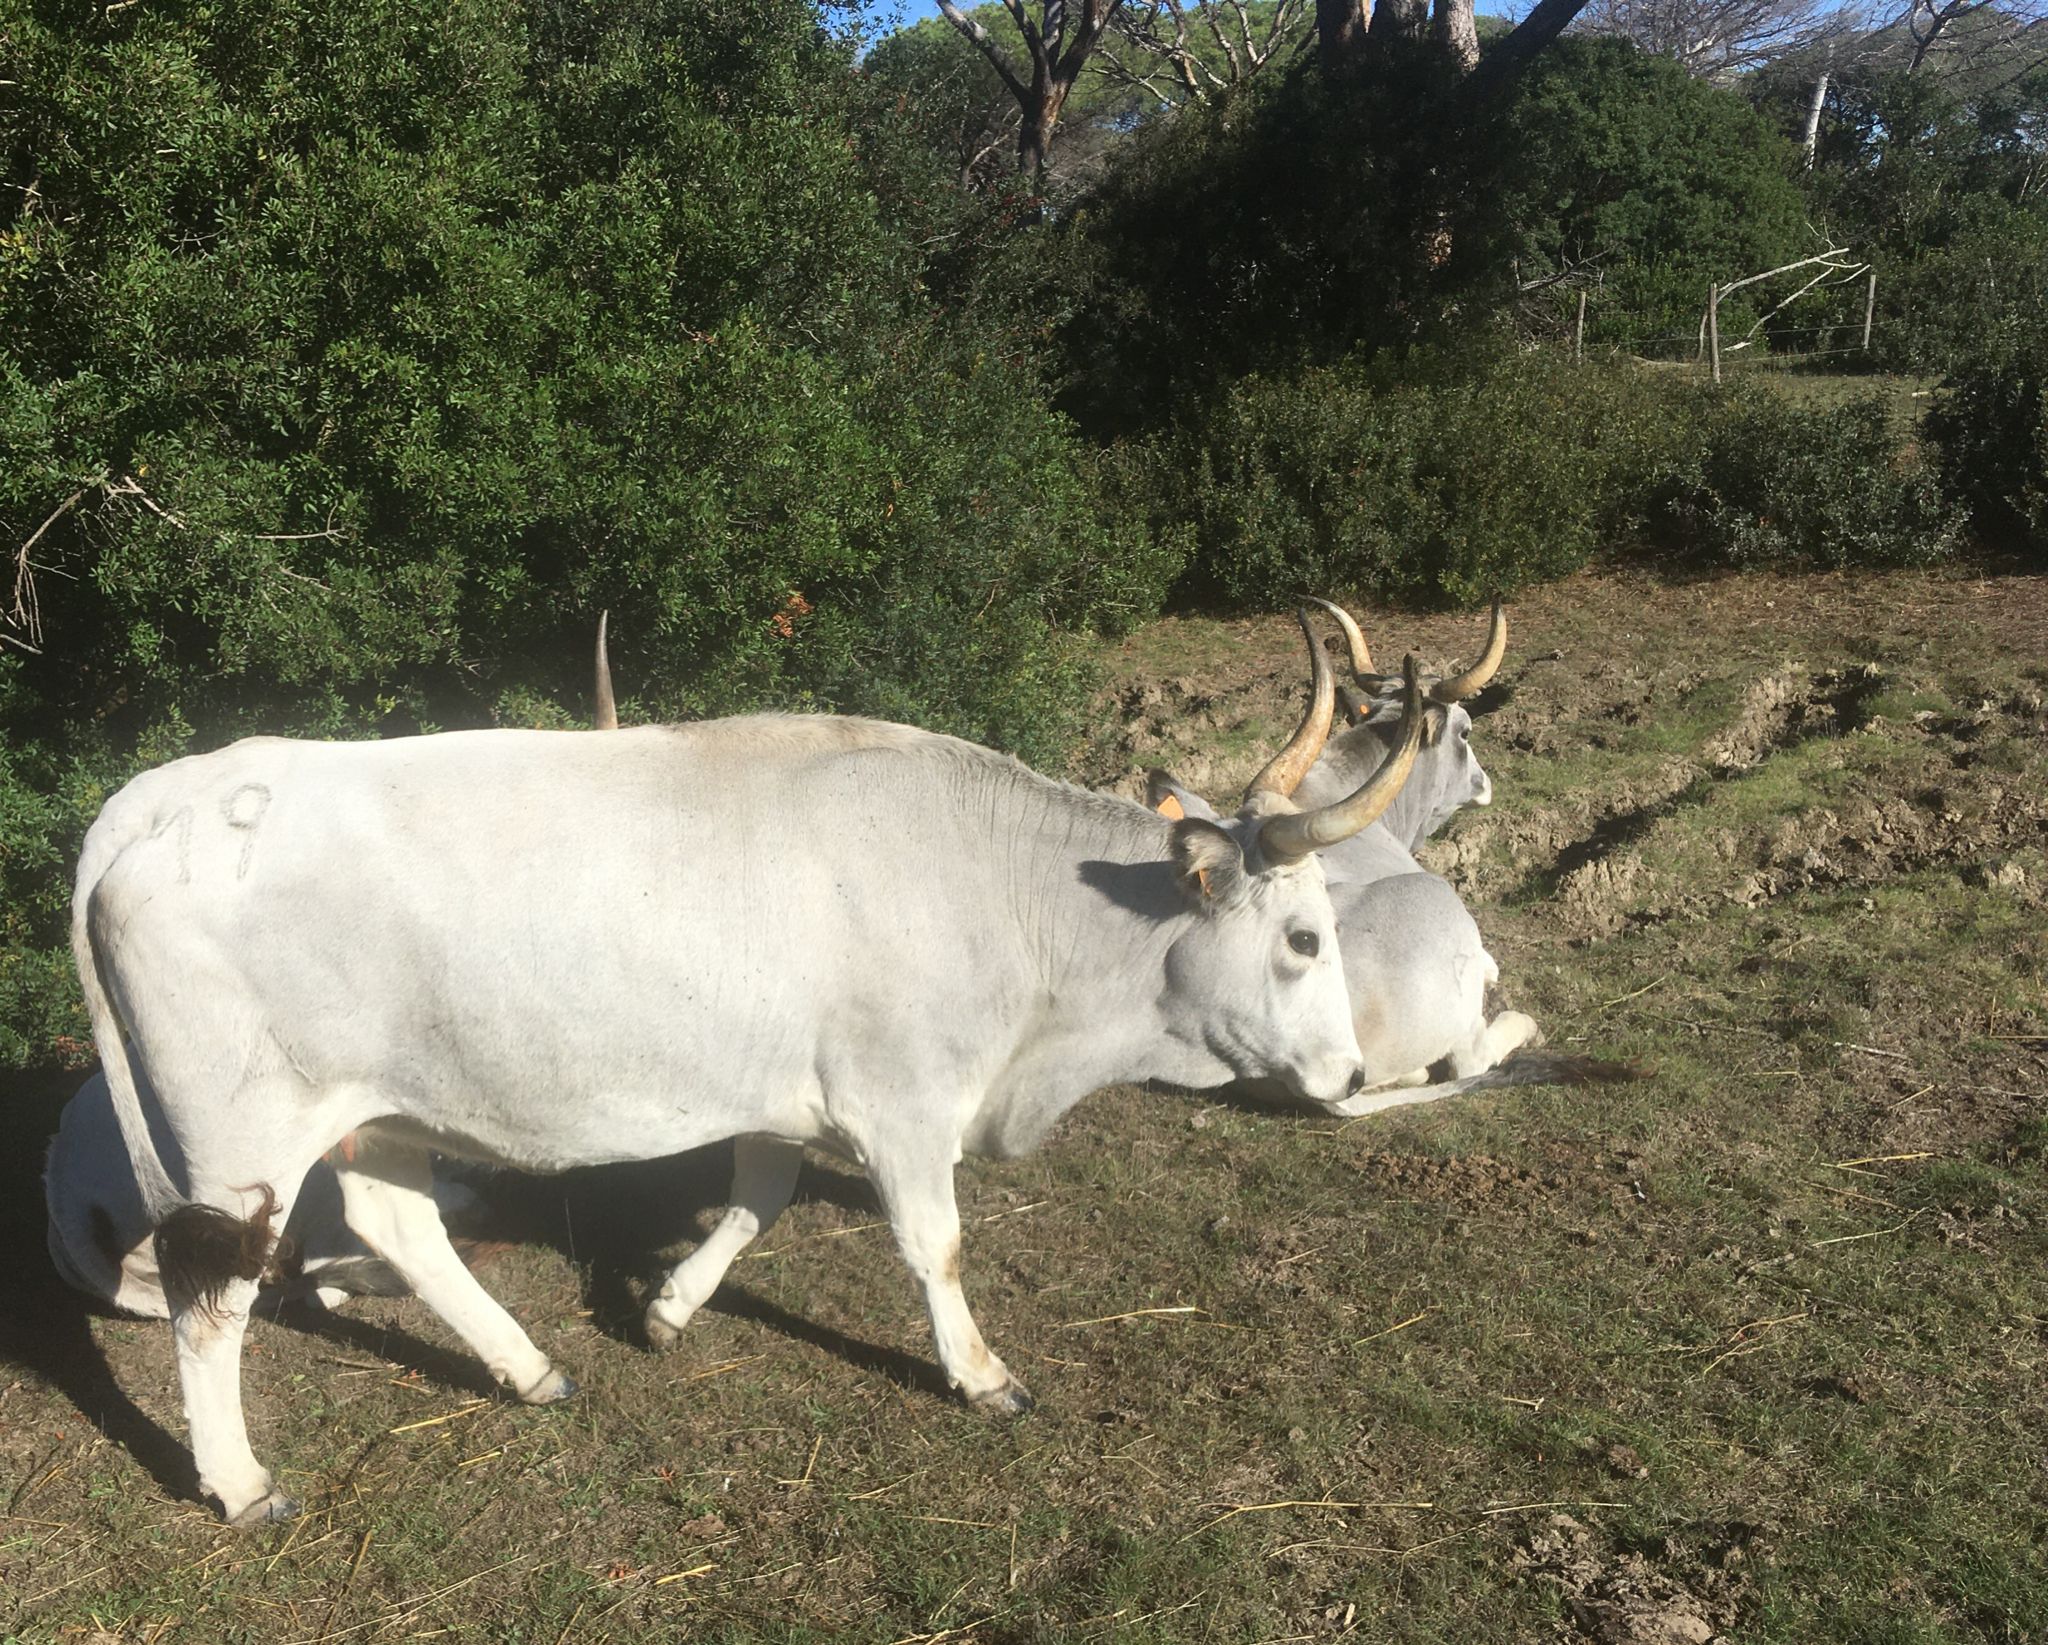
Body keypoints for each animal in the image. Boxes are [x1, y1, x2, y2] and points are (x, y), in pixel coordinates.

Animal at [75, 651, 1425, 1524]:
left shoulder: (793, 1092)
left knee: (397, 1223)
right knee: (210, 1293)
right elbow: (933, 1244)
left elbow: (755, 1199)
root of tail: (161, 795)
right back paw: (241, 1483)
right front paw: (980, 1372)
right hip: (240, 1135)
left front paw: (670, 1307)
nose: (1352, 1071)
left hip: (381, 1107)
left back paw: (529, 1367)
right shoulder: (902, 1095)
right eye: (1302, 936)